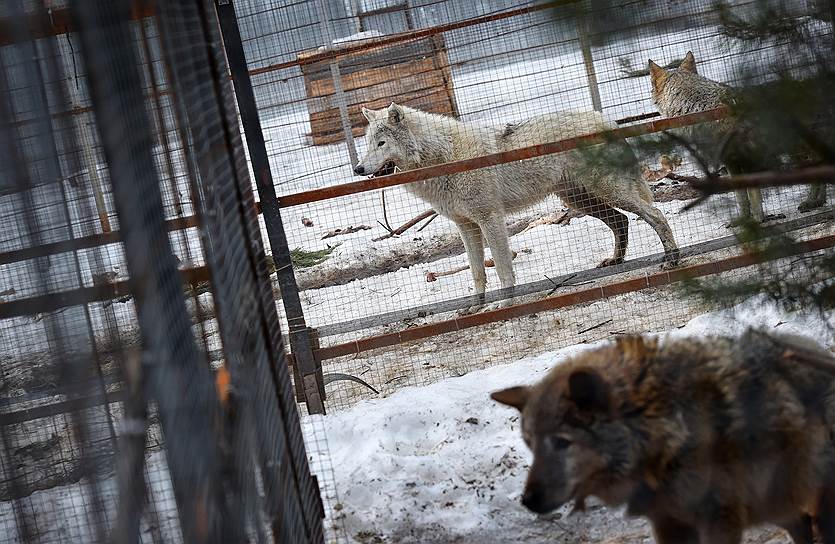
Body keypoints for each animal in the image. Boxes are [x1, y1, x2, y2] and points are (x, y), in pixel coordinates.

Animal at [352, 104, 680, 300]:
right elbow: (477, 271)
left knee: (655, 214)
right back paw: (616, 261)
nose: (357, 169)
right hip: (580, 200)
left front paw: (506, 300)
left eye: (381, 143)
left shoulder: (490, 219)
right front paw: (476, 306)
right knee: (620, 221)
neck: (443, 158)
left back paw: (672, 259)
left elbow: (501, 266)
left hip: (607, 192)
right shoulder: (466, 227)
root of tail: (606, 119)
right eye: (367, 144)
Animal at [490, 330, 835, 540]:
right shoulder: (667, 524)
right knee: (801, 524)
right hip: (775, 503)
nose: (528, 500)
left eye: (563, 443)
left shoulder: (721, 520)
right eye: (530, 445)